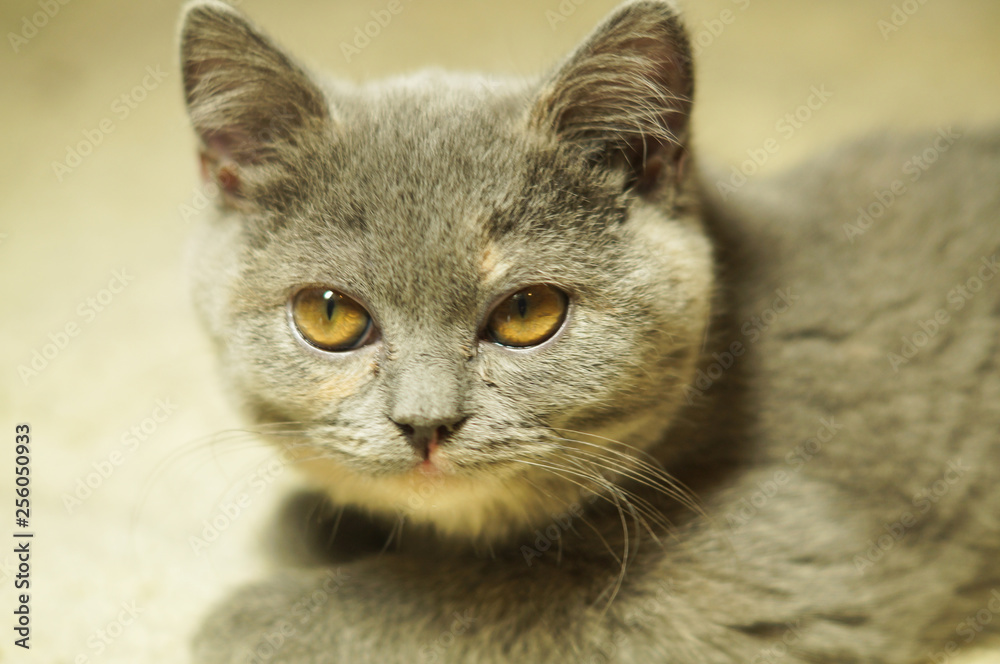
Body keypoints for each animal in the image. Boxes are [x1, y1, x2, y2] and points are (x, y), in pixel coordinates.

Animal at [180, 2, 1000, 660]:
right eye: (331, 315)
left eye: (527, 313)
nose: (426, 423)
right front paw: (318, 521)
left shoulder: (776, 558)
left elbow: (485, 596)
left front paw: (265, 614)